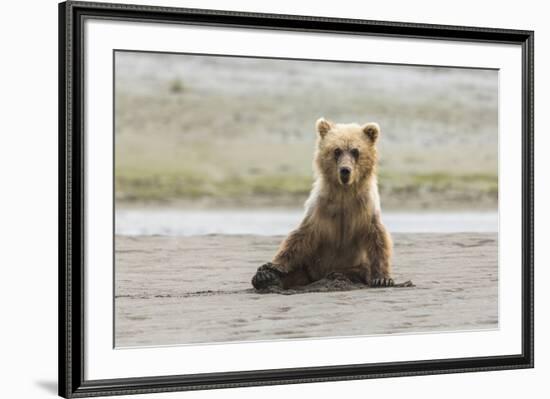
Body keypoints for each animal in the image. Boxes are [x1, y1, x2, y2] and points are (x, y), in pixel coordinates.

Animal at [252, 119, 394, 290]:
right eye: (337, 150)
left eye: (355, 150)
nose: (345, 170)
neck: (344, 192)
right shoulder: (320, 207)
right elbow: (300, 237)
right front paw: (273, 266)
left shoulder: (365, 207)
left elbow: (377, 238)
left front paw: (383, 279)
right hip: (309, 266)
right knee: (297, 272)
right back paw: (265, 277)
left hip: (355, 264)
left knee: (358, 271)